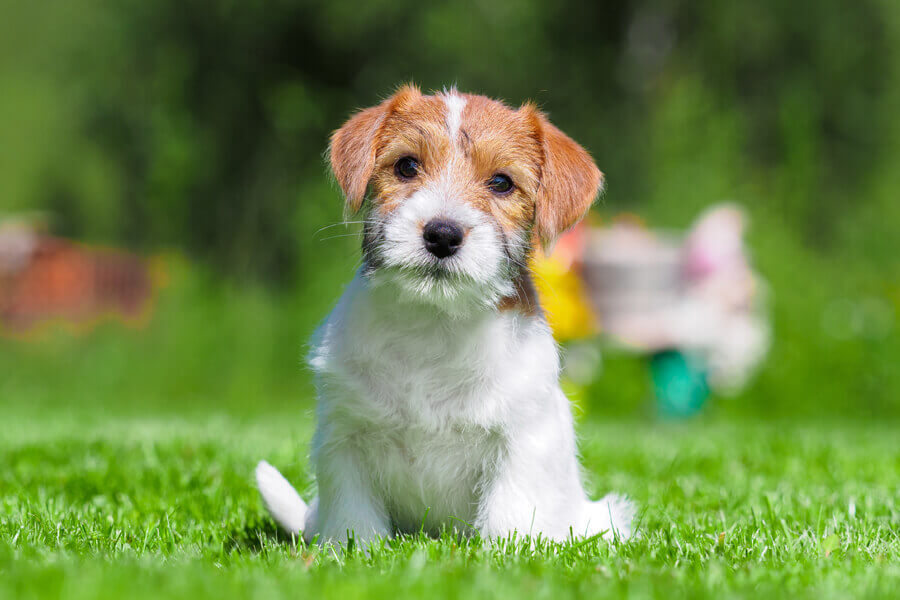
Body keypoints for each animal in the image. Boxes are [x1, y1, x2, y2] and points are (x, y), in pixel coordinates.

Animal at [256, 85, 636, 548]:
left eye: (501, 182)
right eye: (406, 166)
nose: (442, 234)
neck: (435, 322)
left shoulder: (522, 440)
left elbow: (509, 511)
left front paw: (506, 554)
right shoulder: (345, 438)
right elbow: (354, 515)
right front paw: (354, 551)